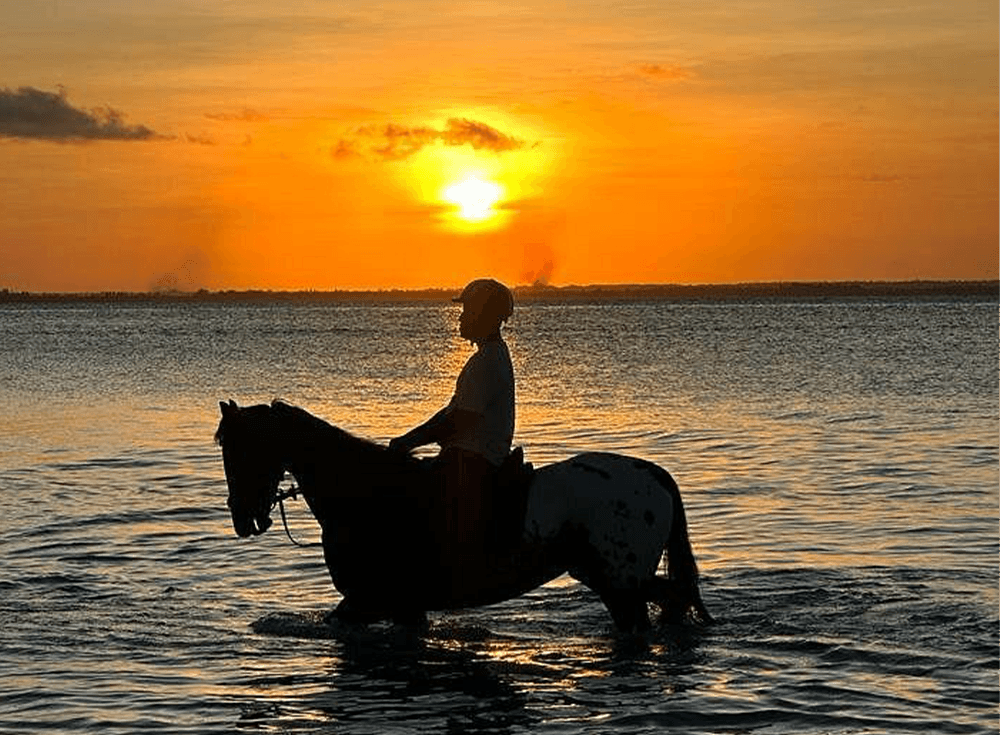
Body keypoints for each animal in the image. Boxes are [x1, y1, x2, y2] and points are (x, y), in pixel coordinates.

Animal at [215, 399, 713, 632]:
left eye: (236, 447)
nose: (242, 517)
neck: (365, 492)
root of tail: (652, 473)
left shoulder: (369, 600)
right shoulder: (404, 606)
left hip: (620, 584)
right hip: (610, 578)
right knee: (673, 596)